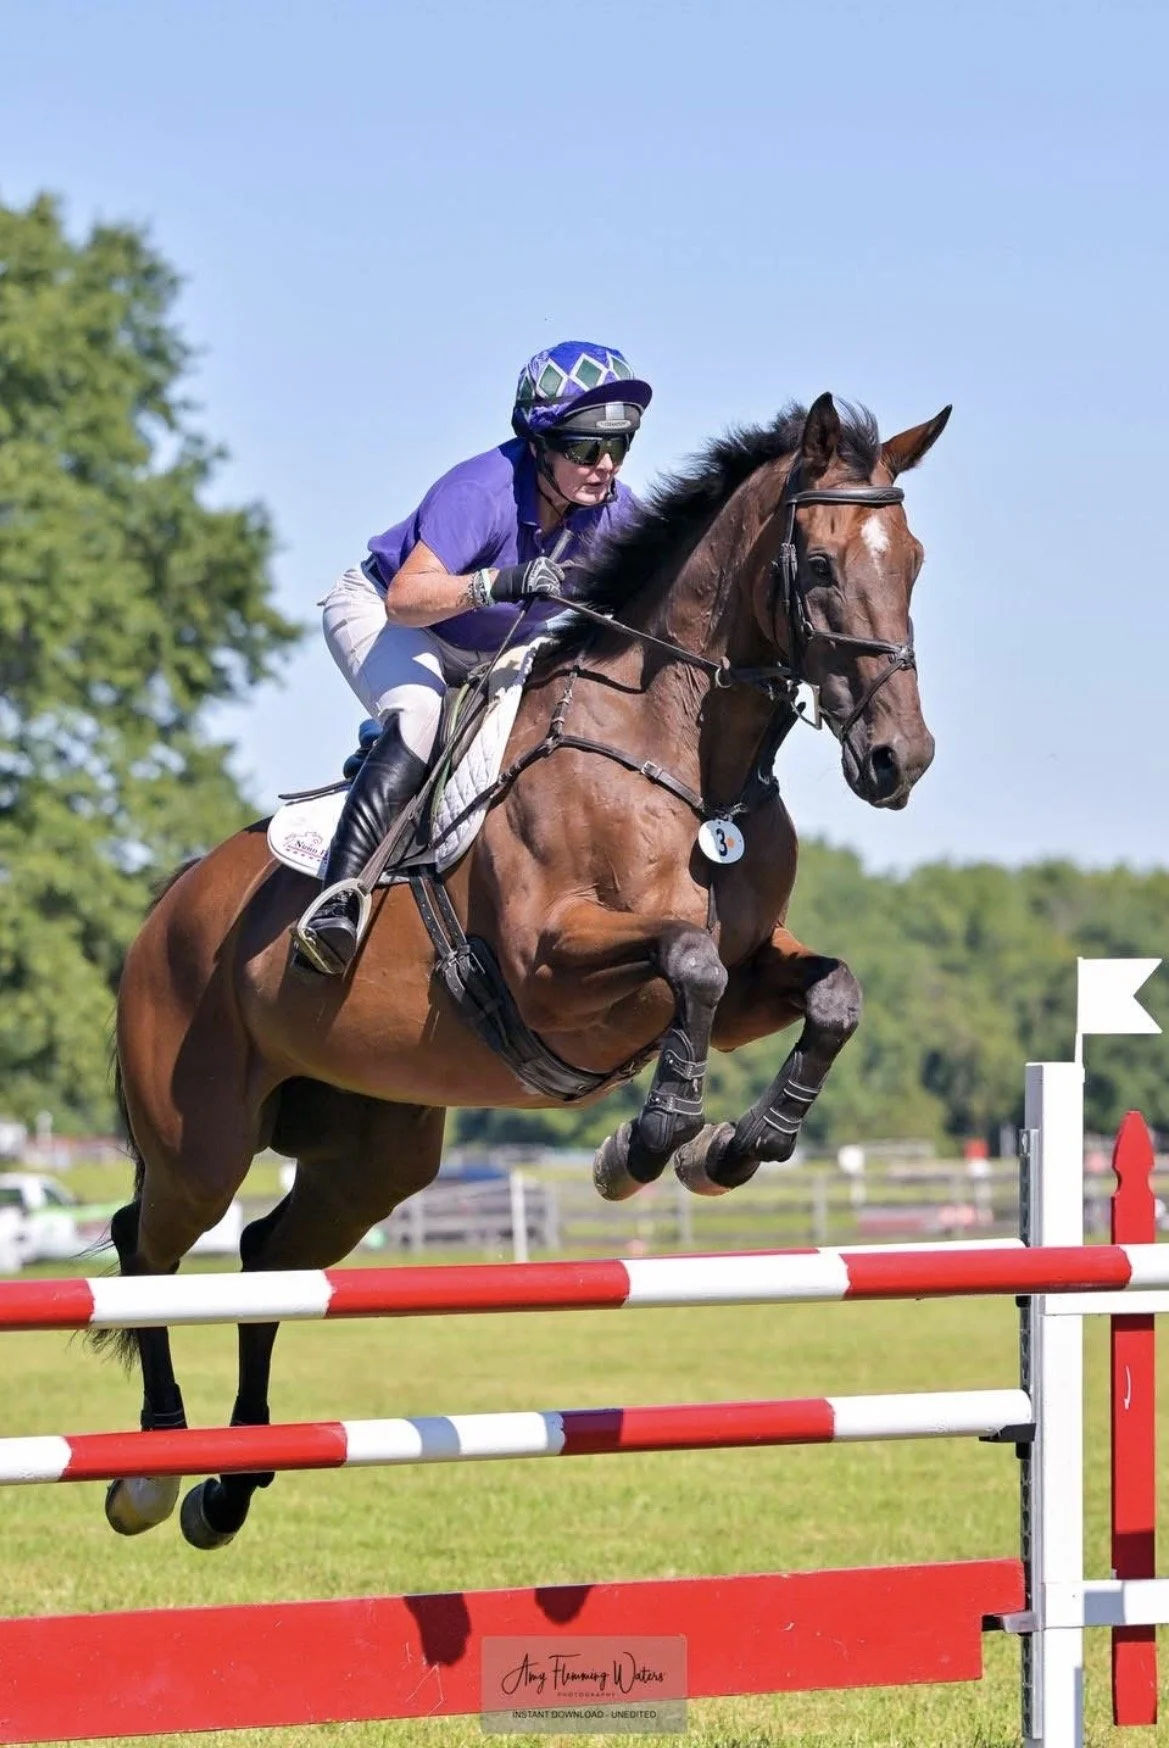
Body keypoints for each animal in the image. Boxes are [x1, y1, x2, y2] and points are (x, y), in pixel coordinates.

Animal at [103, 391, 950, 1549]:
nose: (896, 760)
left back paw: (229, 1484)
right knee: (148, 1251)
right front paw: (644, 1143)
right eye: (817, 566)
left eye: (912, 562)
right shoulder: (551, 965)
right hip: (202, 1140)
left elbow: (828, 993)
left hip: (373, 1153)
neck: (683, 755)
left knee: (268, 1257)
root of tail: (166, 905)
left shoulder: (749, 975)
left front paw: (736, 1147)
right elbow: (688, 965)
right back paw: (149, 1470)